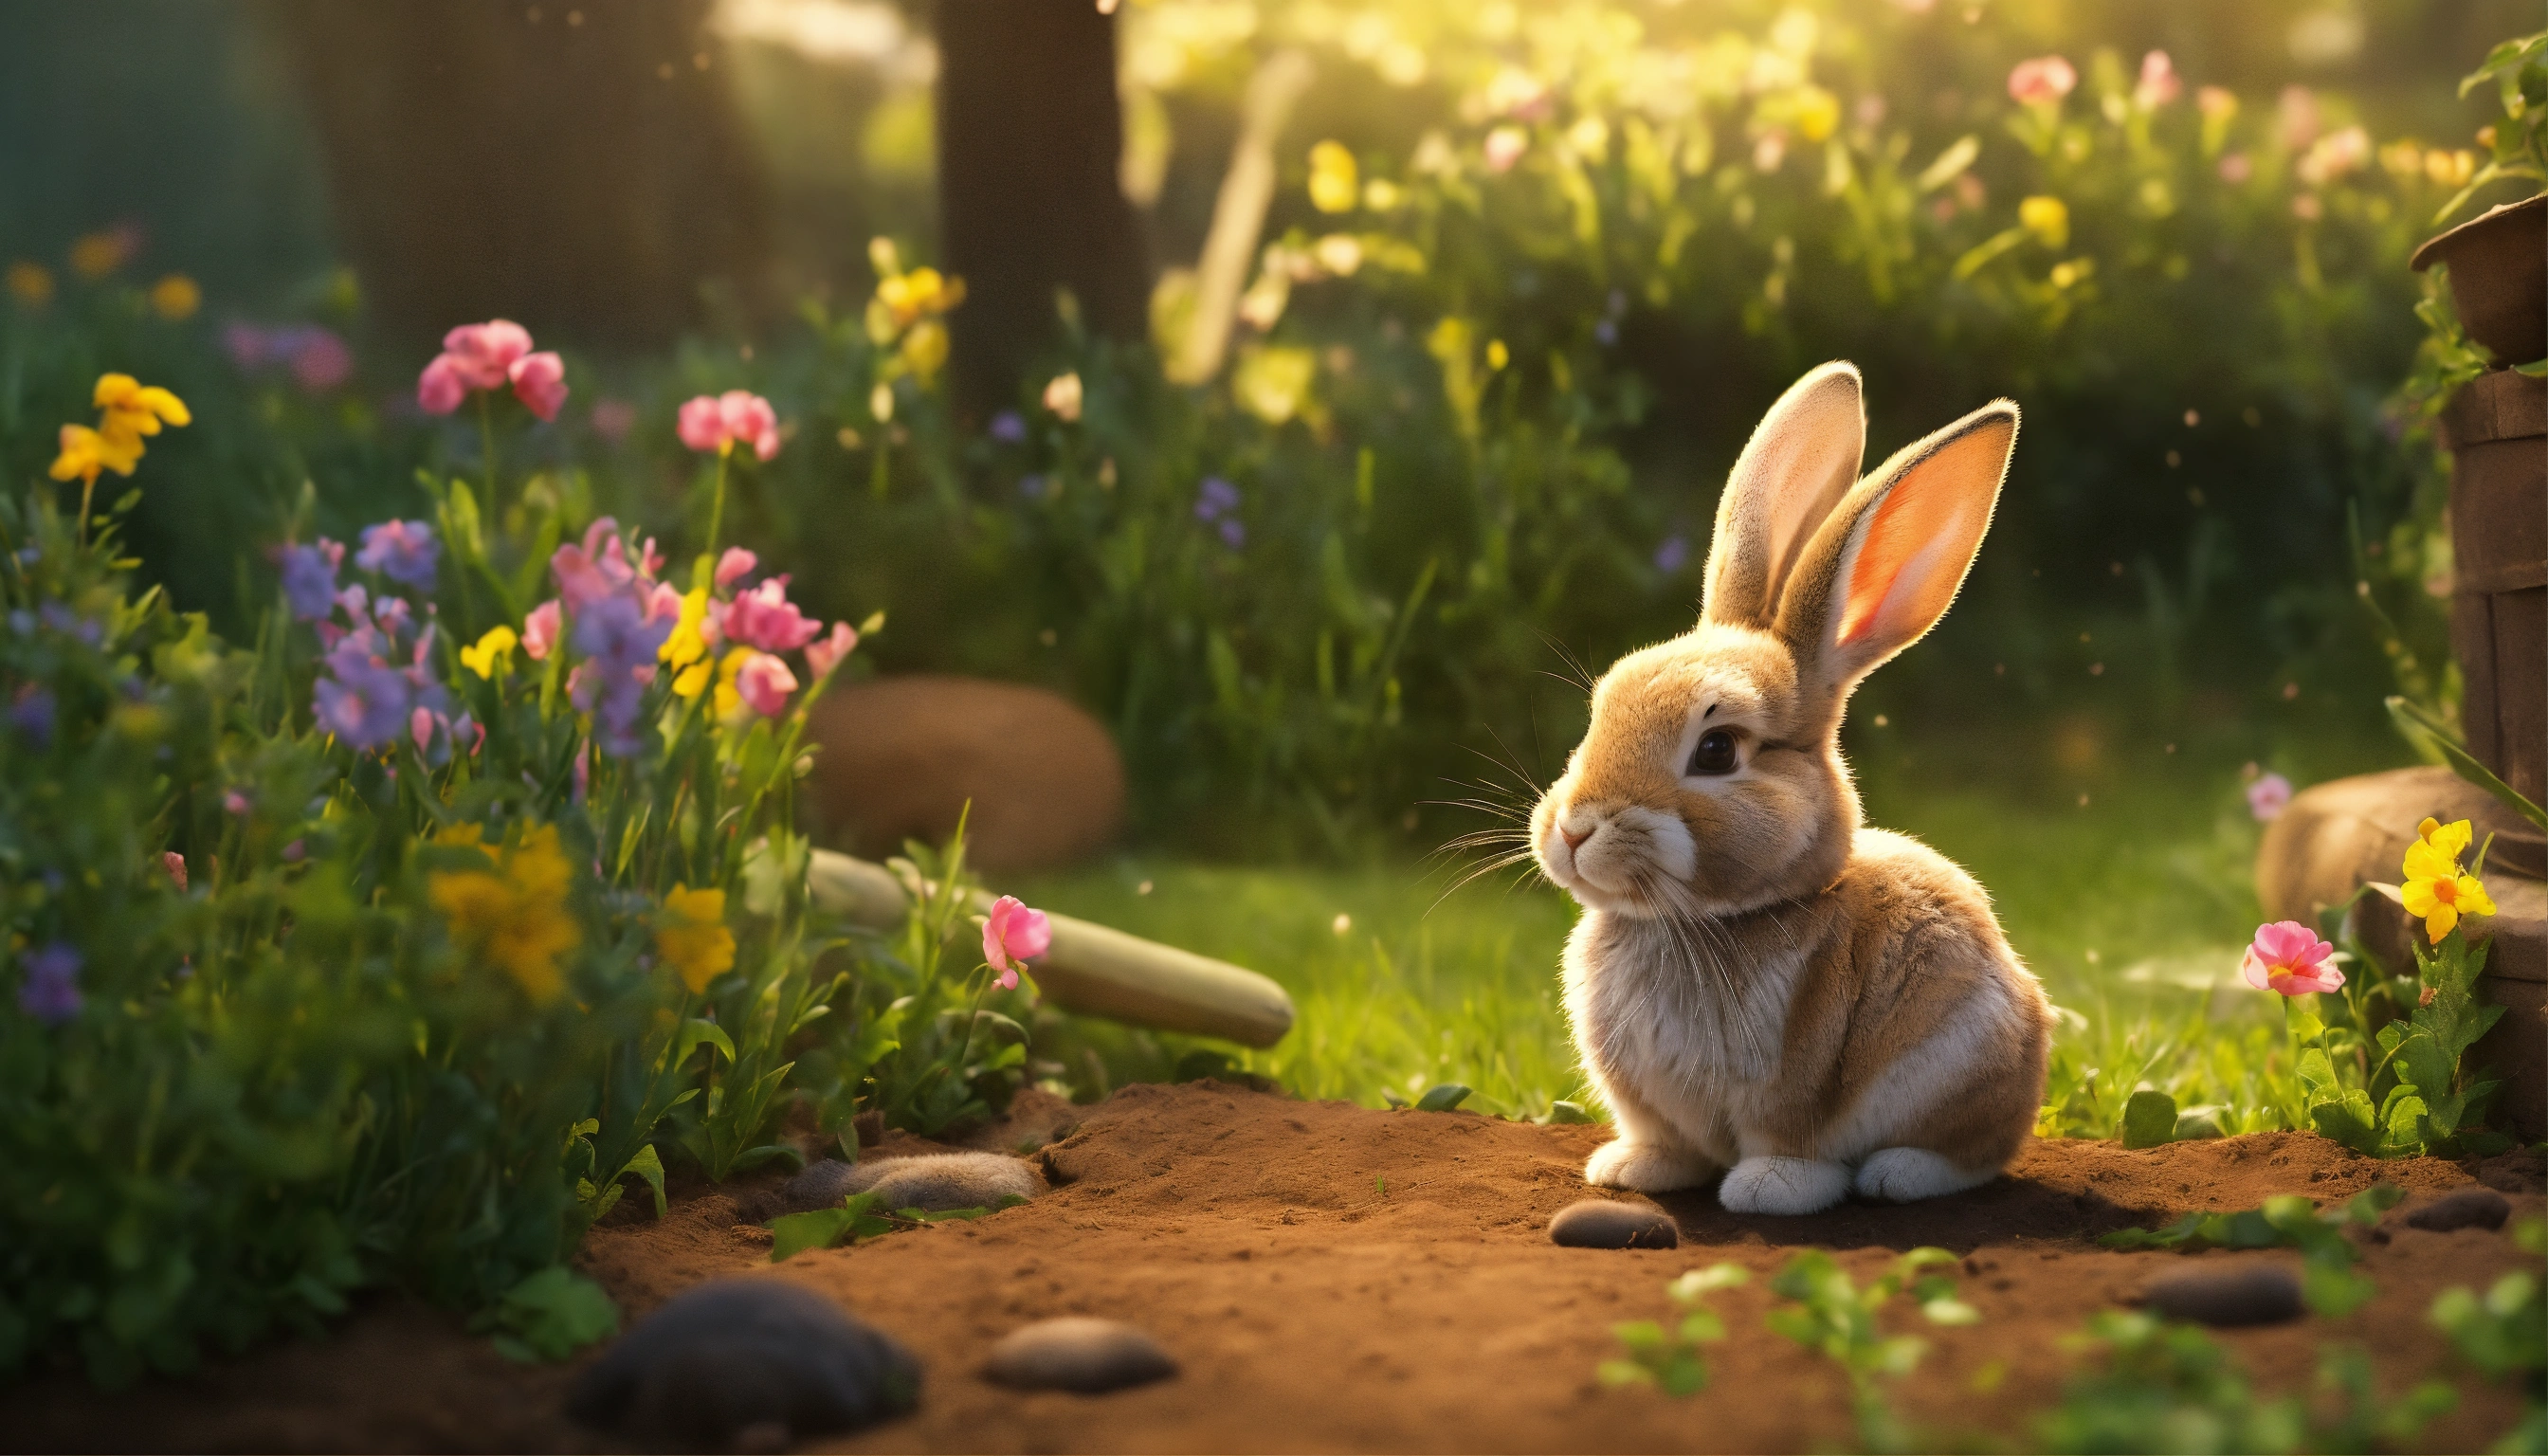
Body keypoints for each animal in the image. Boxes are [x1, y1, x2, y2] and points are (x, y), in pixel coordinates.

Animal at [1528, 362, 2052, 1216]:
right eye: (1601, 706)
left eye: (1716, 750)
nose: (1573, 830)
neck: (1696, 922)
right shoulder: (1646, 1103)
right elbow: (1663, 1138)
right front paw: (1634, 1171)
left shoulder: (1797, 1073)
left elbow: (1790, 1135)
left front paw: (1769, 1191)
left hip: (1967, 1064)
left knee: (1975, 1152)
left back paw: (1899, 1174)